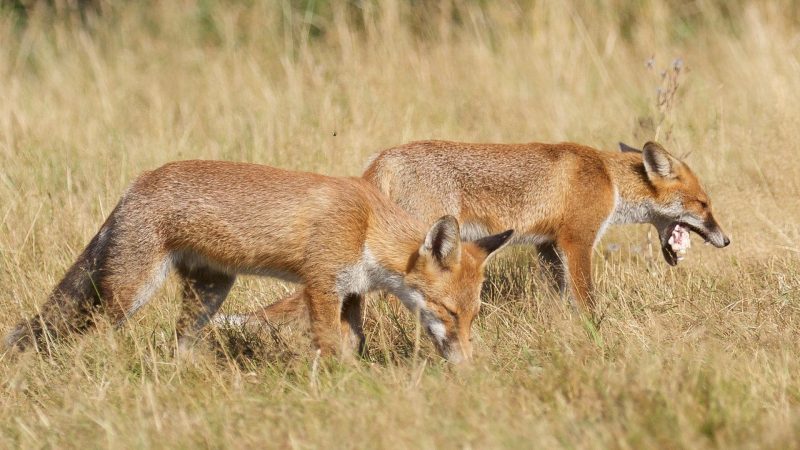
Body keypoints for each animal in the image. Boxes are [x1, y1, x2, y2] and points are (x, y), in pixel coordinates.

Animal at [4, 161, 512, 362]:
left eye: (473, 316)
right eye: (448, 313)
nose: (466, 365)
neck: (367, 225)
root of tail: (136, 185)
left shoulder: (351, 291)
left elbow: (354, 340)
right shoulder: (321, 284)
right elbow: (330, 345)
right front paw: (340, 383)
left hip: (209, 294)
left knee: (179, 342)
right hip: (128, 296)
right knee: (89, 334)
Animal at [241, 141, 728, 324]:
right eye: (704, 205)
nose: (726, 240)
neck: (608, 178)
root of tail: (385, 157)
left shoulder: (548, 247)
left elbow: (560, 297)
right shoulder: (577, 241)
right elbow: (588, 298)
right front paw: (597, 330)